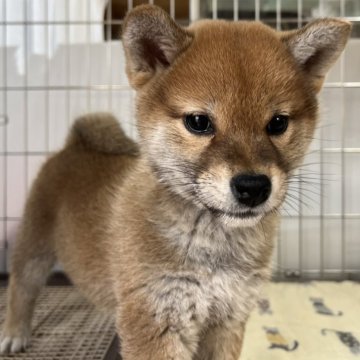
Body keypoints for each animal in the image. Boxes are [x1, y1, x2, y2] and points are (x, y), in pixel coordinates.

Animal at [0, 4, 348, 358]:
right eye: (198, 122)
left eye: (278, 123)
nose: (253, 187)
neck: (213, 244)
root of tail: (75, 144)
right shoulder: (157, 317)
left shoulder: (228, 318)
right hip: (34, 247)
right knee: (21, 289)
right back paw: (14, 332)